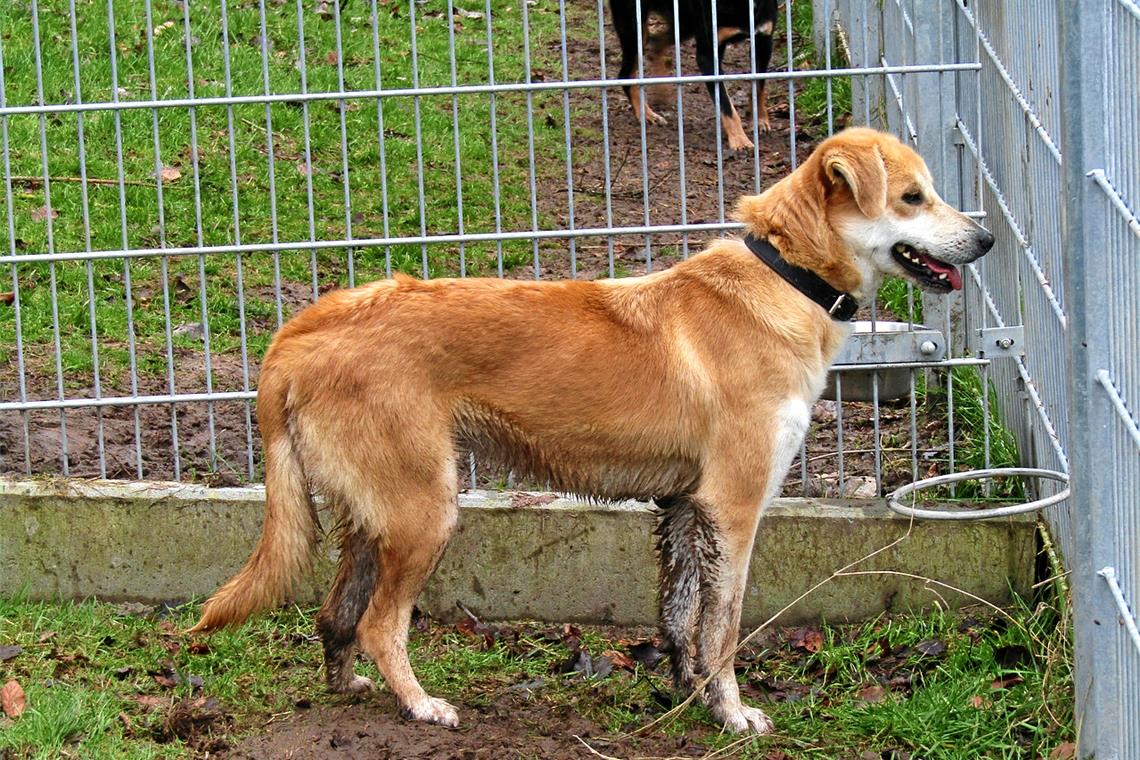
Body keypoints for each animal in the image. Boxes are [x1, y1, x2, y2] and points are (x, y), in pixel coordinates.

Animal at [191, 127, 994, 733]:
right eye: (914, 197)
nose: (986, 239)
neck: (784, 276)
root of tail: (304, 331)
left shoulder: (683, 510)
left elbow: (680, 618)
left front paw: (688, 696)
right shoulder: (734, 511)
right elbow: (724, 629)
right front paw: (733, 715)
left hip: (373, 515)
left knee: (336, 617)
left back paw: (351, 690)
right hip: (425, 513)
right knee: (379, 624)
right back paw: (420, 706)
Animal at [611, 0, 779, 151]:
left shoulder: (764, 41)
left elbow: (759, 87)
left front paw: (759, 120)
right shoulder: (707, 56)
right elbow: (726, 105)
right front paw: (739, 140)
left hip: (684, 23)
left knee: (656, 44)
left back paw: (661, 92)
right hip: (635, 29)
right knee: (625, 75)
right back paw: (646, 113)